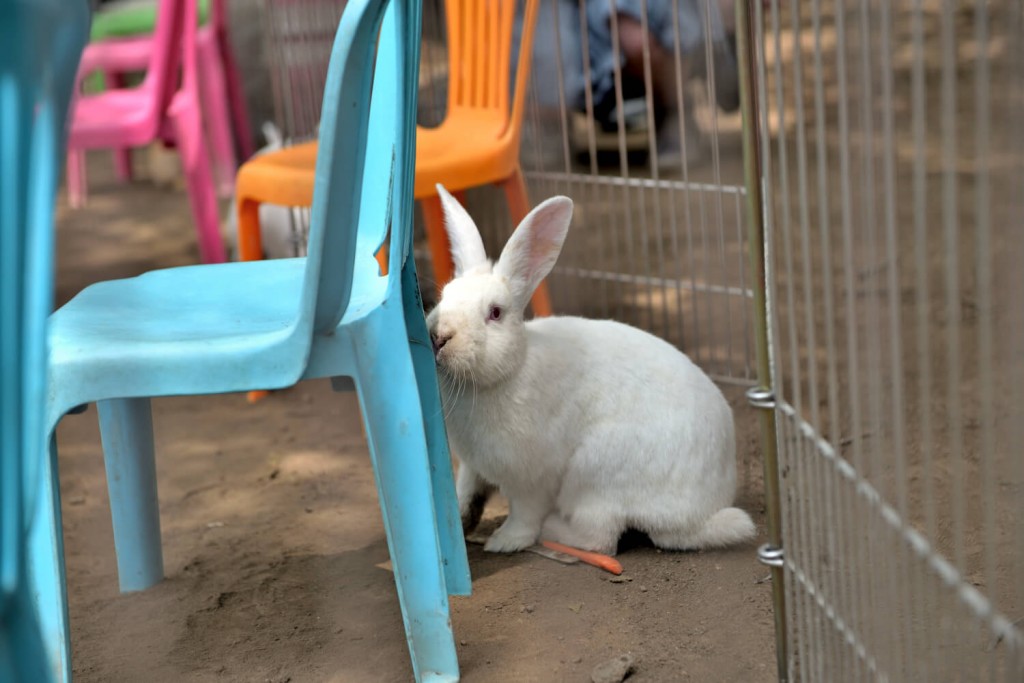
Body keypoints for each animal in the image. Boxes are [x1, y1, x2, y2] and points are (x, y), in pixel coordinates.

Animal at [423, 185, 753, 557]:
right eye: (445, 295)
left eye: (495, 313)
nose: (439, 337)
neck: (506, 374)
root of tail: (699, 516)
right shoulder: (472, 466)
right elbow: (466, 492)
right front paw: (460, 520)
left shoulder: (531, 479)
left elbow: (523, 516)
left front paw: (503, 542)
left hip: (593, 477)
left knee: (600, 538)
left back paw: (553, 530)